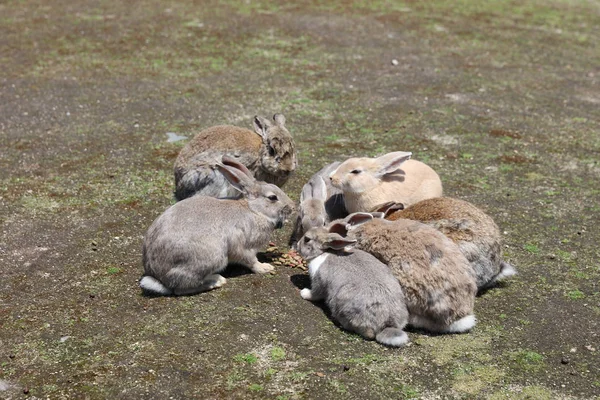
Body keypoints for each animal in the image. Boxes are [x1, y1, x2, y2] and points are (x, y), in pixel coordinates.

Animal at [138, 158, 292, 296]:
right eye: (272, 198)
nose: (292, 207)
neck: (253, 209)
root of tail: (159, 277)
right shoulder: (243, 245)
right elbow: (250, 260)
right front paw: (265, 267)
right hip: (214, 257)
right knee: (181, 288)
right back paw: (216, 281)